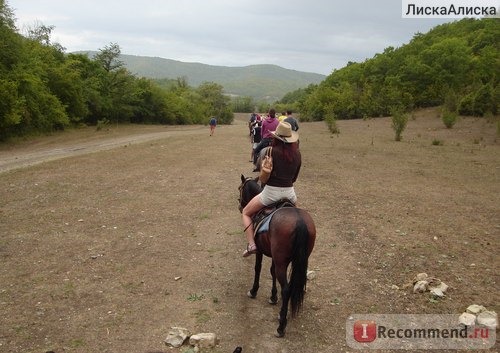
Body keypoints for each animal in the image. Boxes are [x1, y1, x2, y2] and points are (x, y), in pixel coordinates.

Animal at [238, 175, 316, 336]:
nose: (240, 207)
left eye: (239, 188)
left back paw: (281, 326)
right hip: (298, 259)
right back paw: (283, 314)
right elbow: (272, 272)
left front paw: (254, 291)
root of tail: (299, 220)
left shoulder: (260, 251)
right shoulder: (275, 256)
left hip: (282, 261)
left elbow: (258, 268)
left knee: (286, 289)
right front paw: (273, 297)